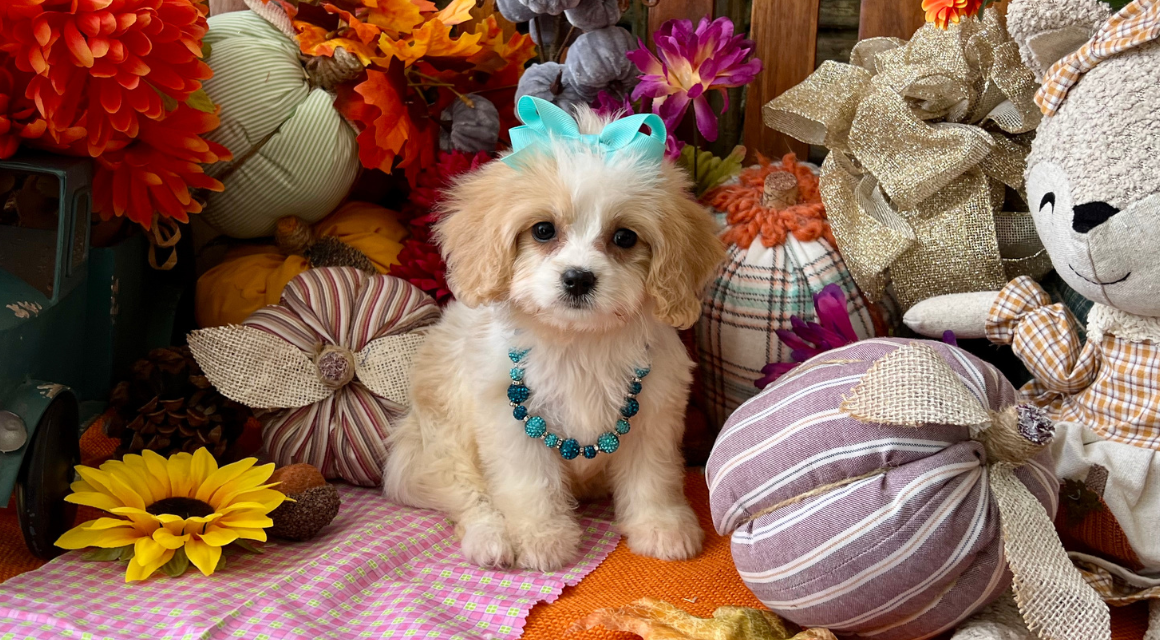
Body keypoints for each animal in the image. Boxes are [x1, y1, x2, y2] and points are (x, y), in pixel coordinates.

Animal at [380, 102, 723, 572]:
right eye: (543, 230)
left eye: (624, 237)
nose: (578, 278)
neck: (579, 341)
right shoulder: (508, 423)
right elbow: (530, 483)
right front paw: (541, 538)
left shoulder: (654, 412)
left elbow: (651, 476)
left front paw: (660, 526)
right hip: (437, 444)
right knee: (467, 495)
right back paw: (491, 539)